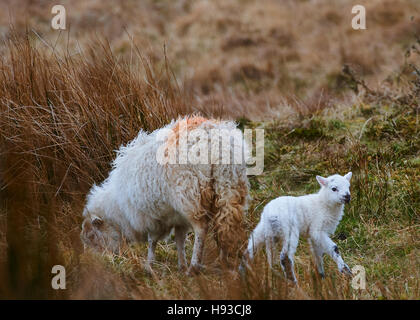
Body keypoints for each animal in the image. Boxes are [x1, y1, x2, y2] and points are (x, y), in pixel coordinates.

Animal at [80, 116, 248, 274]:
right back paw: (223, 260)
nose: (102, 264)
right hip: (229, 184)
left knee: (201, 228)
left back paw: (194, 267)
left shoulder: (151, 216)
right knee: (226, 224)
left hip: (190, 195)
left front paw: (149, 265)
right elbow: (179, 240)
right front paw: (181, 265)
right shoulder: (177, 217)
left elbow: (152, 241)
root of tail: (213, 136)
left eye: (92, 236)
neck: (119, 209)